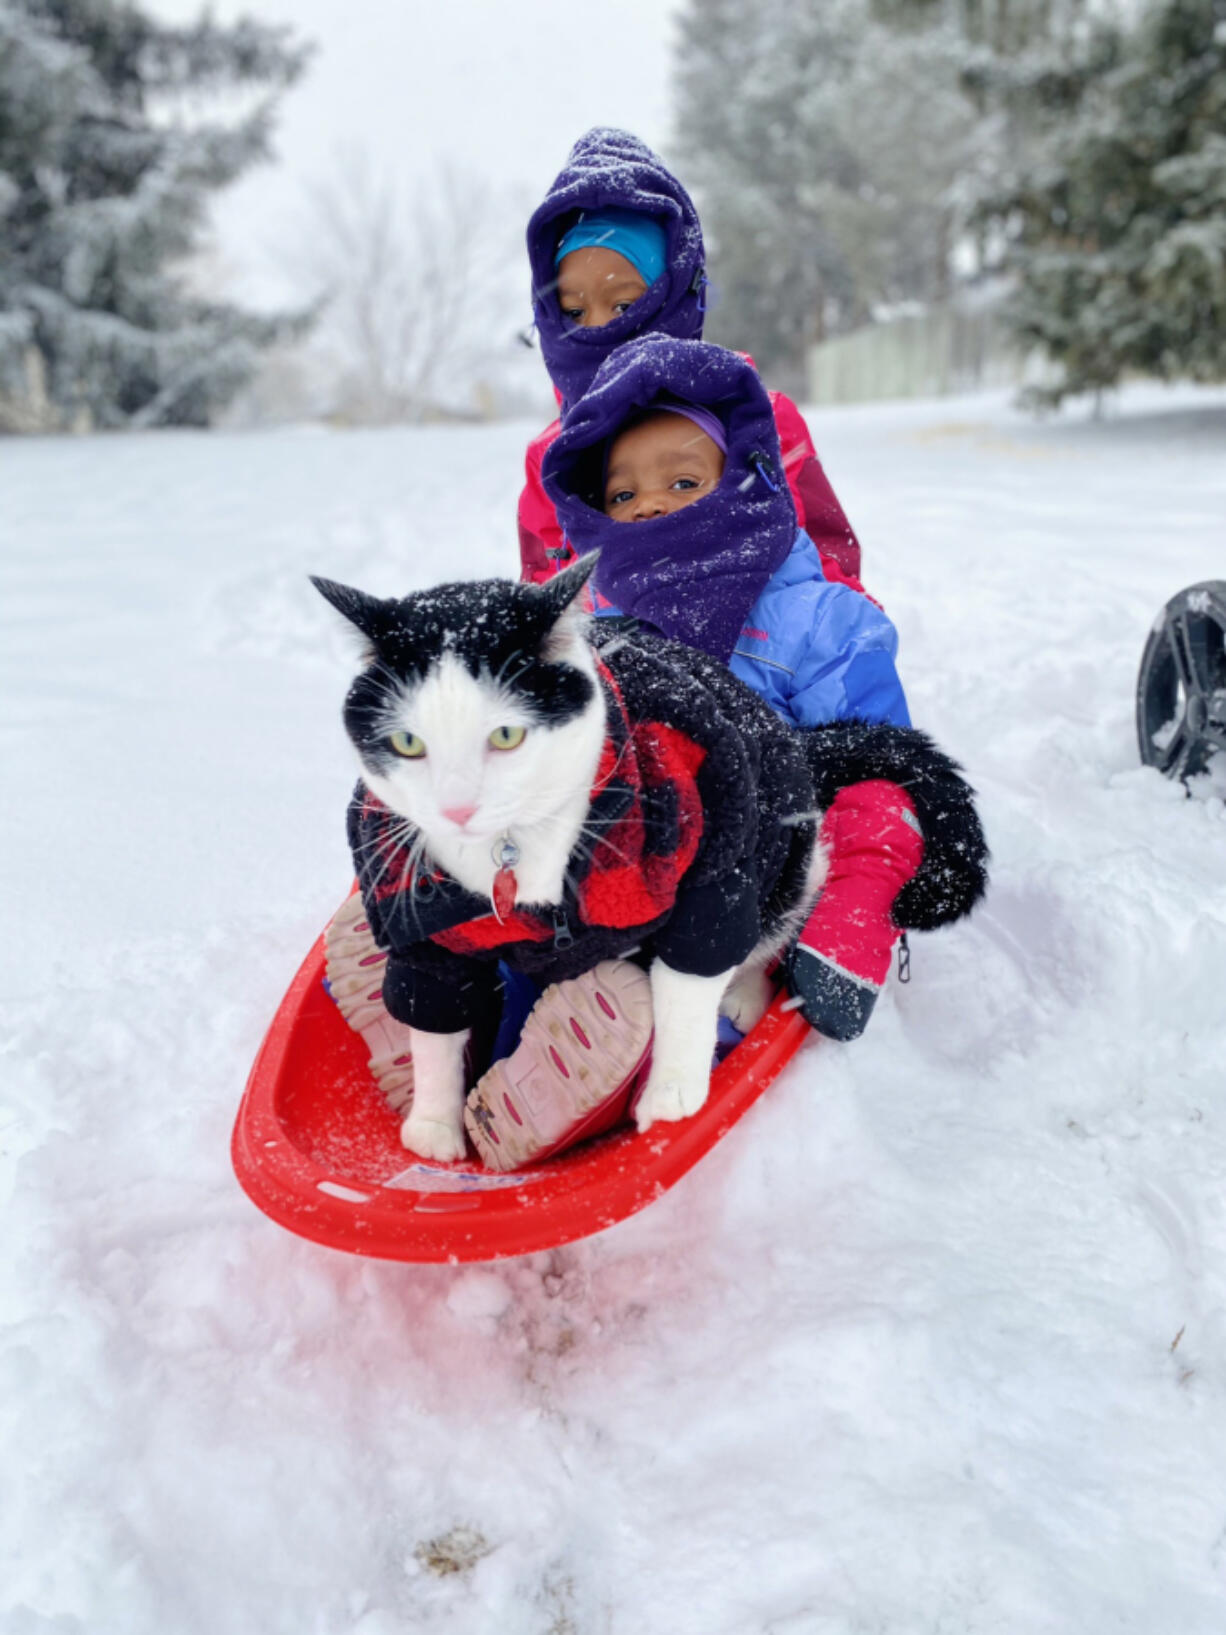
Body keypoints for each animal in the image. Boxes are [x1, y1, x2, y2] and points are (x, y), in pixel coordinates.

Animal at [317, 559, 987, 1164]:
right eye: (408, 743)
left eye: (506, 736)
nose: (456, 808)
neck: (514, 854)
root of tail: (799, 740)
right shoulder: (422, 931)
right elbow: (432, 1018)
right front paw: (432, 1120)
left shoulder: (711, 871)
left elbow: (690, 980)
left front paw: (673, 1092)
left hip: (792, 855)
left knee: (767, 930)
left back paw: (736, 998)